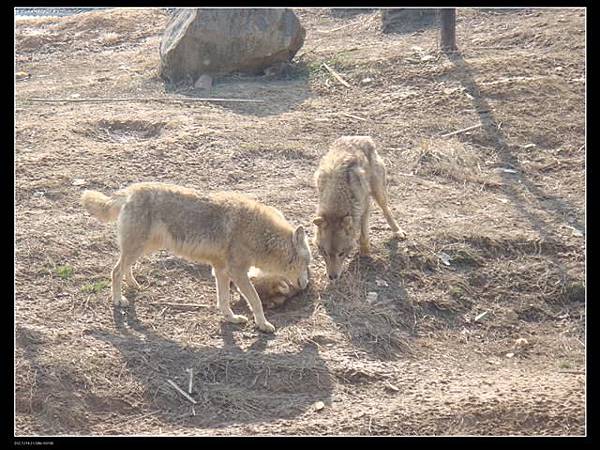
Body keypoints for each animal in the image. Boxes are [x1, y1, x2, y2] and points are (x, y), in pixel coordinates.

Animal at [81, 181, 312, 332]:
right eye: (307, 263)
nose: (307, 285)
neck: (259, 233)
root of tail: (130, 191)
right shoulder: (237, 273)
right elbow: (255, 300)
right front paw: (263, 325)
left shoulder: (221, 271)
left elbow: (223, 301)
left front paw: (231, 319)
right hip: (138, 248)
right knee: (115, 271)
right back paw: (118, 300)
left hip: (144, 248)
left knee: (124, 267)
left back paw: (134, 285)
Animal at [312, 135, 406, 280]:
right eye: (325, 253)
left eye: (341, 253)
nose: (332, 277)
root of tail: (362, 137)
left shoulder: (365, 205)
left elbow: (363, 232)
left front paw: (365, 252)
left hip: (378, 192)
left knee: (386, 209)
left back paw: (397, 231)